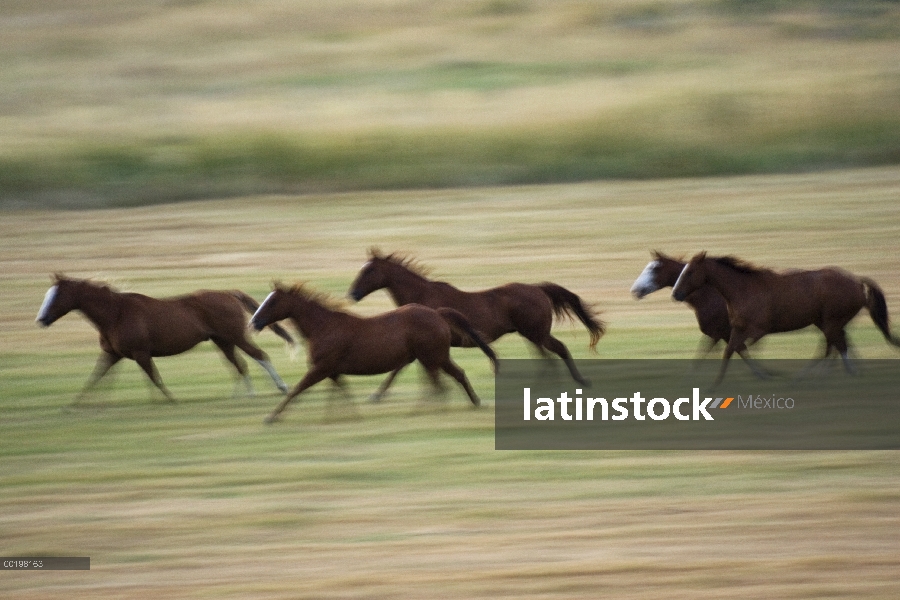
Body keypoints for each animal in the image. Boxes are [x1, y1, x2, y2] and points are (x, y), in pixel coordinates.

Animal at [35, 276, 294, 404]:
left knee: (259, 356)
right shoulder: (113, 354)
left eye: (56, 296)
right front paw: (76, 405)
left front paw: (170, 399)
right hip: (222, 341)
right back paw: (245, 394)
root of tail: (228, 293)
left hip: (234, 336)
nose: (41, 319)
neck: (115, 314)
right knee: (241, 364)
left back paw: (280, 387)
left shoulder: (140, 353)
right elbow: (96, 378)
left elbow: (155, 378)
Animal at [250, 284, 496, 424]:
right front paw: (347, 416)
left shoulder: (321, 368)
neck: (323, 327)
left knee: (438, 385)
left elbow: (297, 390)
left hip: (430, 357)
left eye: (272, 301)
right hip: (436, 357)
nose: (254, 322)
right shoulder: (331, 370)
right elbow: (342, 392)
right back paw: (472, 402)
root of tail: (438, 314)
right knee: (454, 376)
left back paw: (431, 412)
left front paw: (271, 417)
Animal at [348, 248, 608, 390]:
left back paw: (578, 381)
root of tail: (538, 289)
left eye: (369, 270)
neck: (422, 297)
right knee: (548, 357)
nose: (352, 294)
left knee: (558, 350)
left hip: (536, 333)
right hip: (533, 335)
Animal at [672, 252, 896, 384]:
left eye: (689, 272)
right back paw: (816, 374)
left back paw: (837, 373)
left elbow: (738, 348)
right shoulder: (737, 328)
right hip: (826, 321)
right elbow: (732, 350)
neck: (741, 290)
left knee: (836, 345)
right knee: (833, 344)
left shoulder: (757, 329)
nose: (675, 293)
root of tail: (857, 281)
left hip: (831, 320)